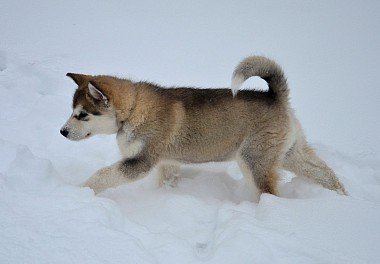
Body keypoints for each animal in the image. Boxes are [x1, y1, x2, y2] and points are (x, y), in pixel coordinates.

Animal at [60, 55, 348, 196]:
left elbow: (102, 175)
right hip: (289, 153)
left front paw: (79, 191)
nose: (62, 132)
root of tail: (275, 97)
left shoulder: (140, 161)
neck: (133, 109)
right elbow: (167, 180)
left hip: (253, 159)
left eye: (82, 115)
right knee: (324, 173)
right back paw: (342, 196)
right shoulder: (167, 163)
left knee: (269, 192)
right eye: (72, 112)